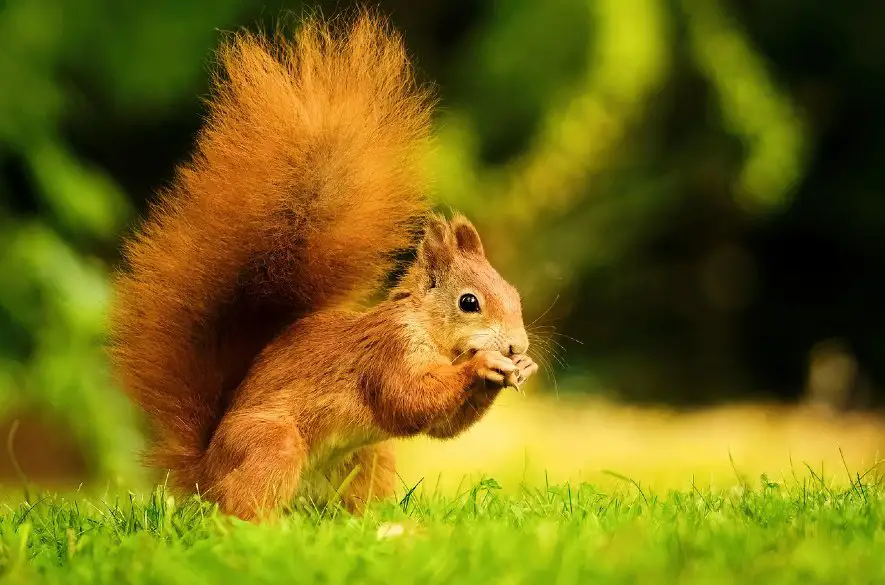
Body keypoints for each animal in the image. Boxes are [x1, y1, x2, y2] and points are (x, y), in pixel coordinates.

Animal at [107, 11, 536, 516]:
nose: (516, 344)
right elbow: (410, 401)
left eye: (513, 295)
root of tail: (204, 472)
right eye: (469, 302)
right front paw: (484, 364)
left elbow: (441, 426)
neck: (429, 332)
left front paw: (520, 367)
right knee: (242, 503)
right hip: (271, 445)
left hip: (369, 457)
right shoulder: (387, 353)